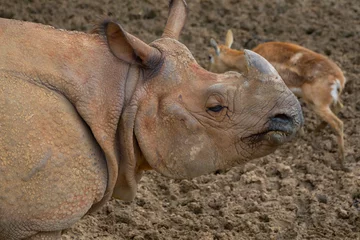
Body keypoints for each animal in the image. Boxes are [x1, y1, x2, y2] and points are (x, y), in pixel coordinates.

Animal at [210, 29, 348, 171]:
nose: (210, 71)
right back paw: (315, 132)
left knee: (338, 123)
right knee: (339, 108)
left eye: (210, 56)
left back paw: (342, 161)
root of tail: (339, 80)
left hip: (318, 103)